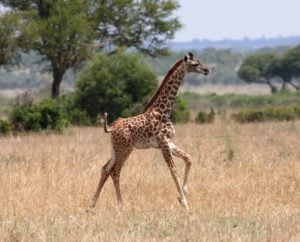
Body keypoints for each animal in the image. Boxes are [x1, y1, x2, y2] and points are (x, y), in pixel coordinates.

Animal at [90, 52, 210, 209]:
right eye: (195, 64)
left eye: (199, 62)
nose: (207, 70)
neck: (163, 111)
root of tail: (112, 127)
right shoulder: (163, 144)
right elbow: (173, 170)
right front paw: (184, 203)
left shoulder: (168, 142)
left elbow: (188, 158)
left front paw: (183, 193)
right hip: (125, 149)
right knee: (115, 171)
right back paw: (121, 205)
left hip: (115, 149)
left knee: (105, 168)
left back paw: (92, 203)